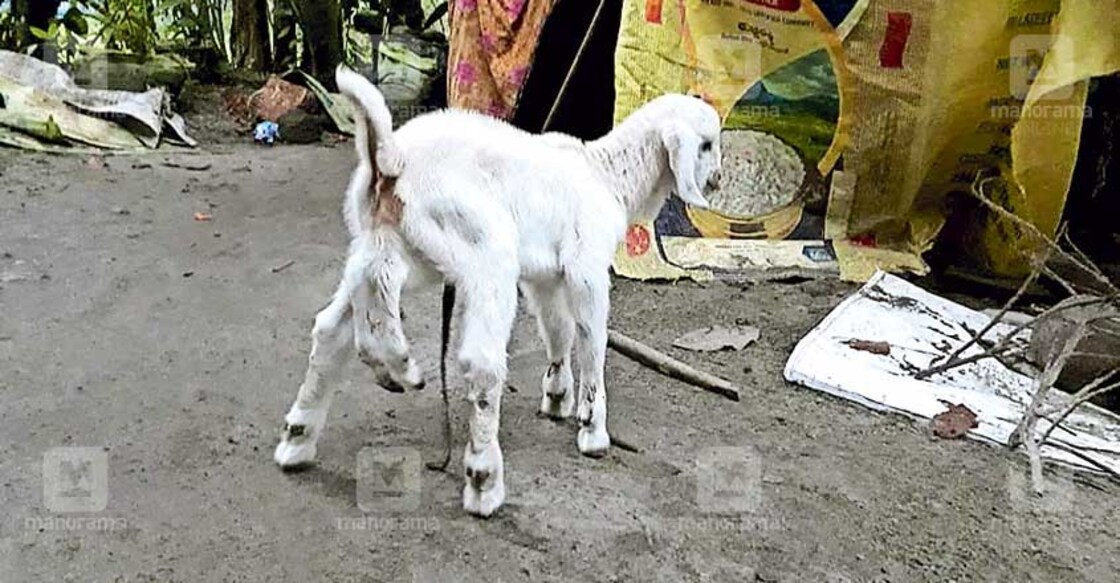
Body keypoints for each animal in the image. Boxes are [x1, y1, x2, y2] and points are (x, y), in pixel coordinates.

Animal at [274, 65, 723, 518]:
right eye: (706, 143)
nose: (717, 180)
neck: (608, 175)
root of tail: (392, 159)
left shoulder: (545, 276)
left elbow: (557, 330)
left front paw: (557, 397)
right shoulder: (587, 267)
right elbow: (591, 341)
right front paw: (592, 428)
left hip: (393, 241)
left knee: (339, 321)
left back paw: (317, 423)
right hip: (482, 248)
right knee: (480, 361)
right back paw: (481, 477)